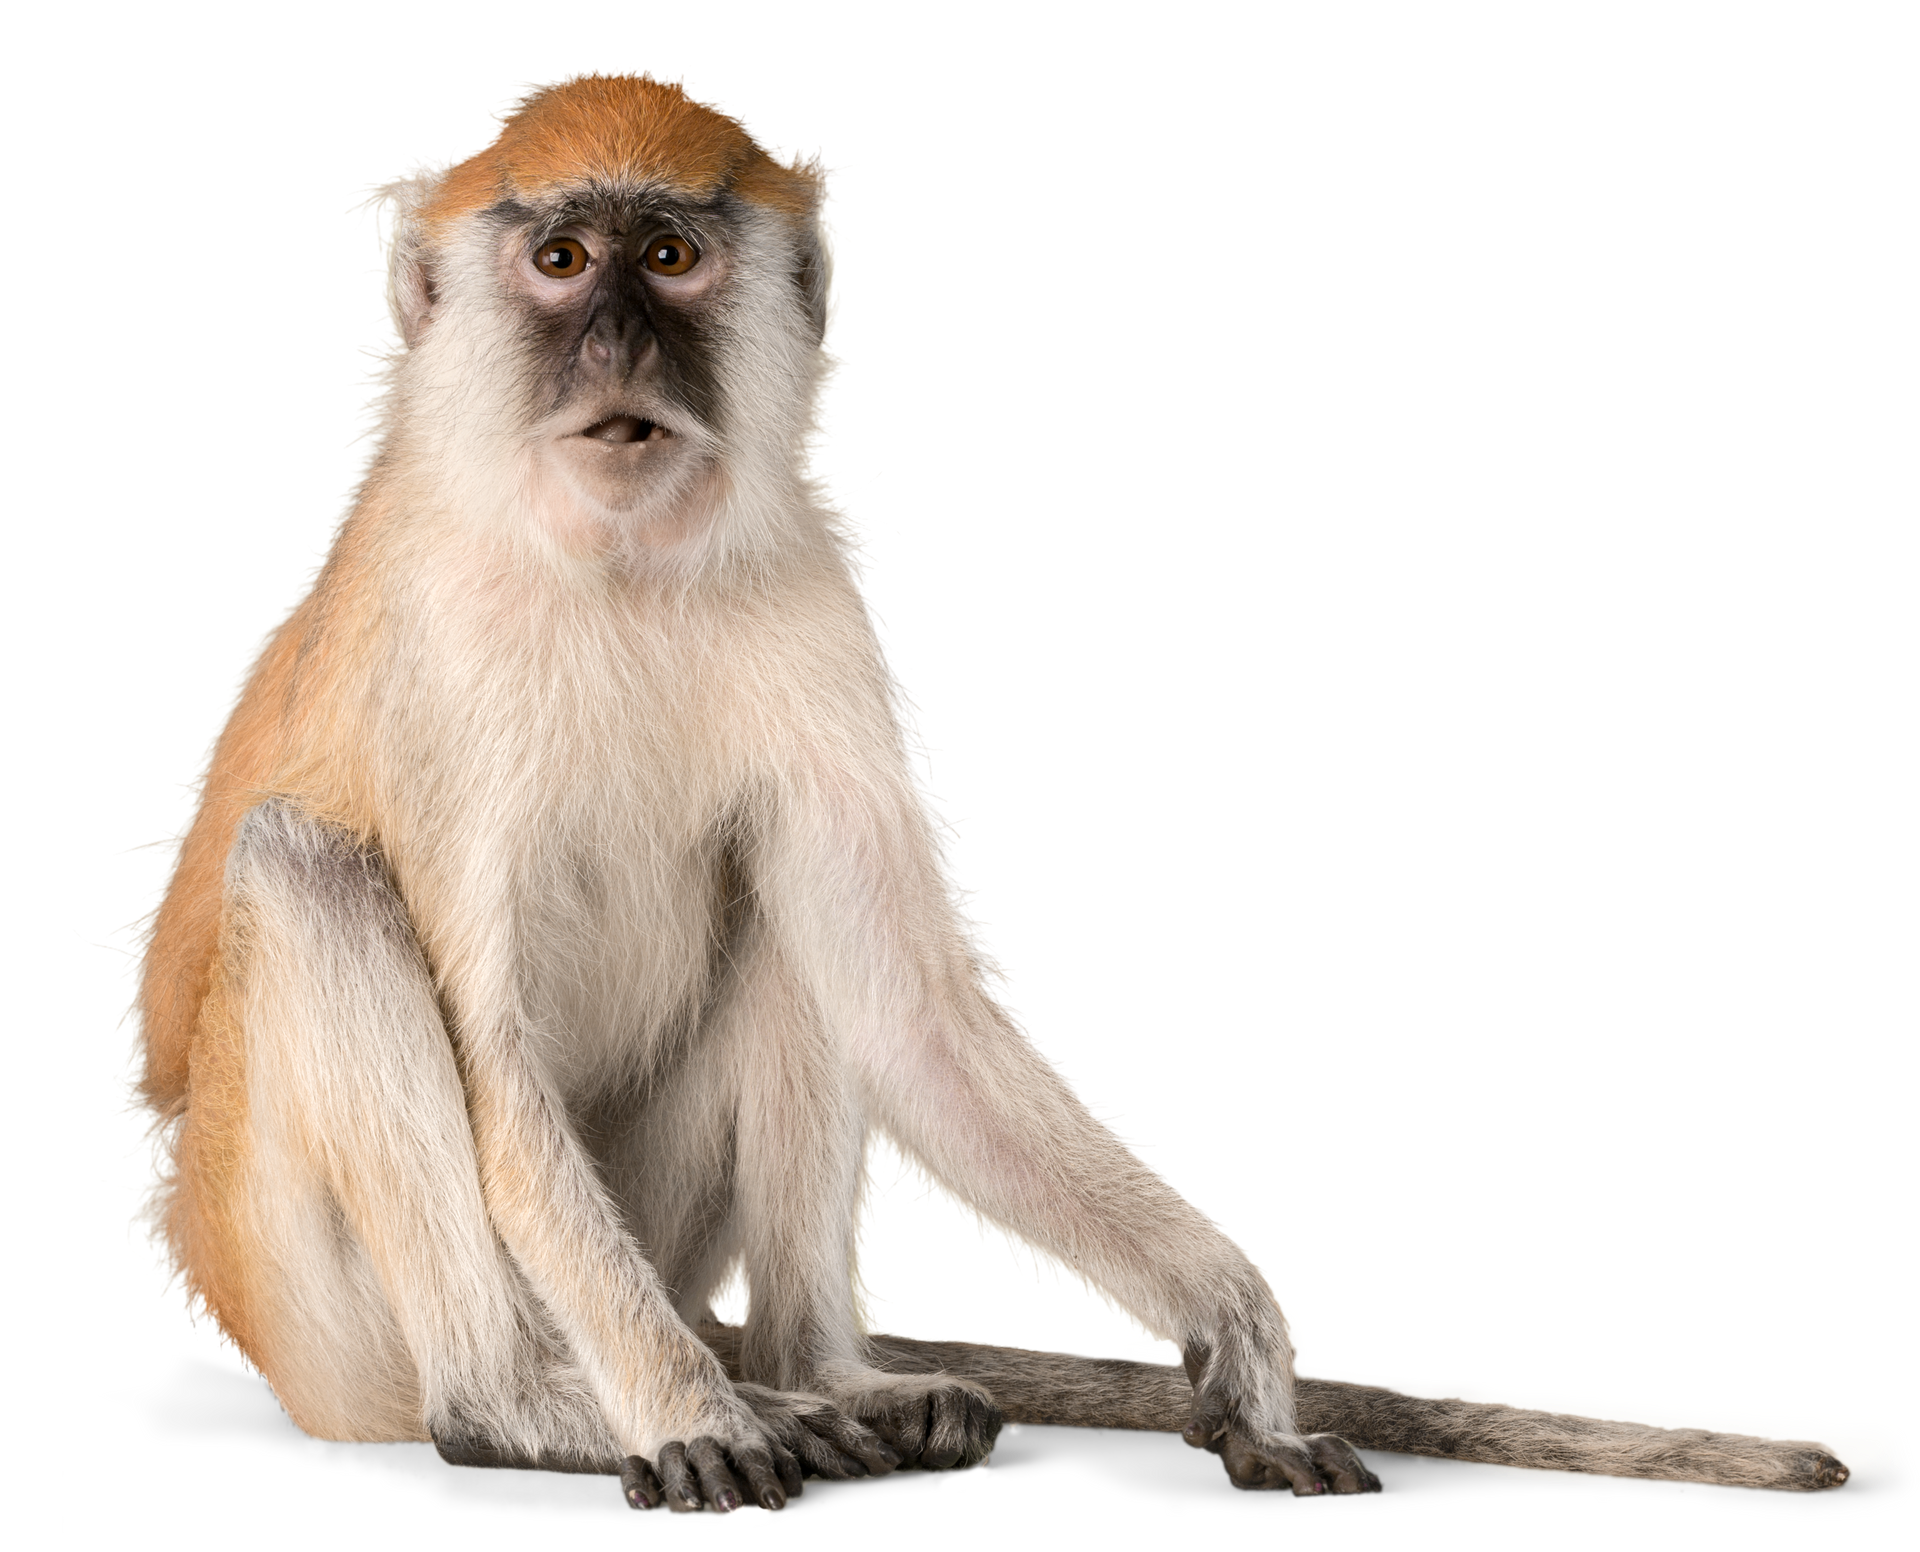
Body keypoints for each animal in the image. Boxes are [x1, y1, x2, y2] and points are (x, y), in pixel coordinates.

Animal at [113, 69, 1875, 1516]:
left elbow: (915, 1005)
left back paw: (822, 1376)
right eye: (559, 264)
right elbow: (490, 1054)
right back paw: (540, 1408)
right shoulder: (442, 658)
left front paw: (1236, 1330)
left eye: (669, 259)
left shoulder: (817, 602)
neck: (618, 564)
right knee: (310, 873)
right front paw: (687, 1419)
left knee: (786, 918)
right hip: (321, 1306)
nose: (616, 343)